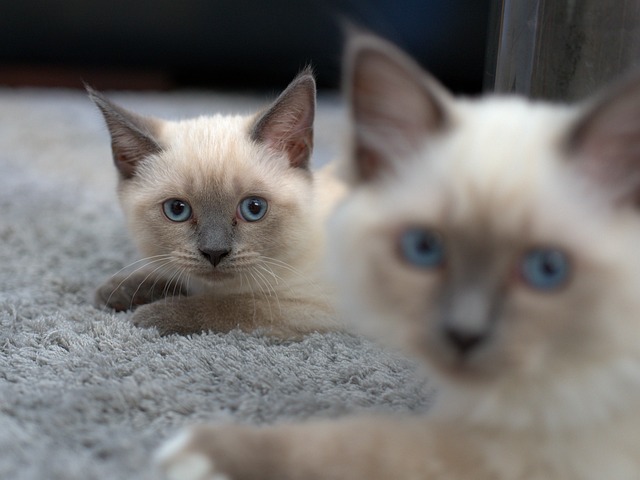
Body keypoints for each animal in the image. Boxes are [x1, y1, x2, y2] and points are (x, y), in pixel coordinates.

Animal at [90, 71, 344, 336]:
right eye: (177, 210)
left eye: (254, 208)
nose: (214, 252)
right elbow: (172, 276)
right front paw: (117, 290)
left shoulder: (313, 305)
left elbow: (231, 306)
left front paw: (151, 314)